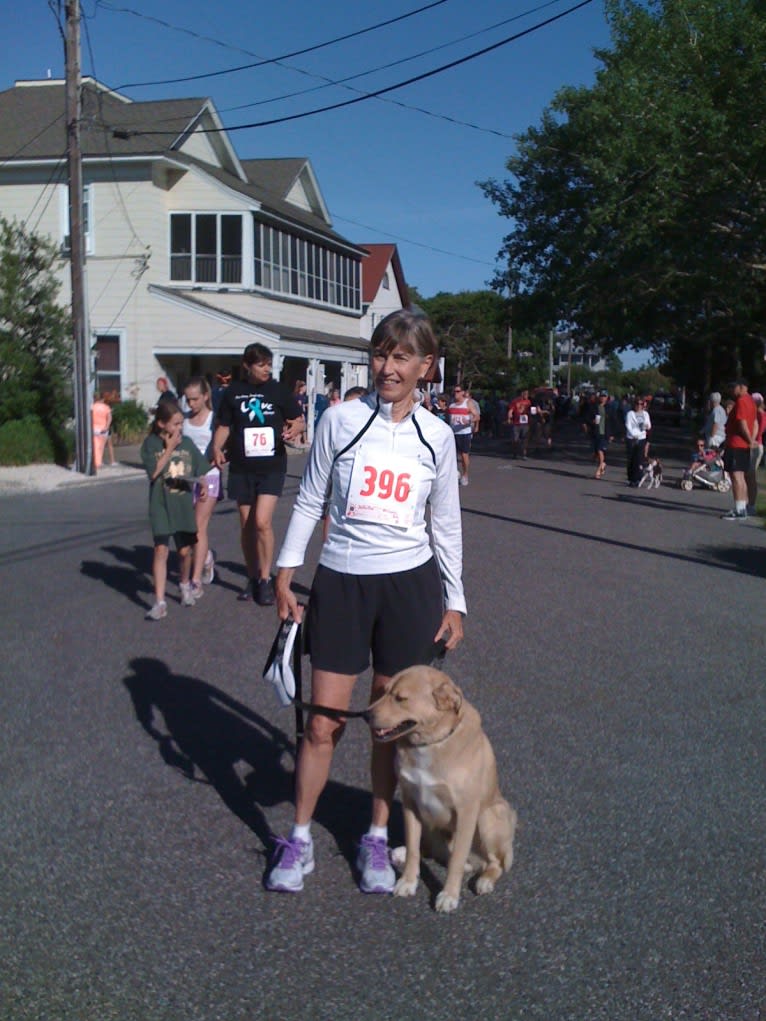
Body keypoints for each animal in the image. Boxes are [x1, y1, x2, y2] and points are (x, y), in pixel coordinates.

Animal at [365, 665, 516, 914]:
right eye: (384, 691)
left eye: (400, 698)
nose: (365, 715)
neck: (430, 743)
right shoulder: (410, 802)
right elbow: (414, 849)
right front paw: (408, 881)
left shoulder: (466, 812)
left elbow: (455, 862)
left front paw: (449, 895)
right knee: (427, 848)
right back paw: (402, 852)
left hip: (489, 816)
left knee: (494, 863)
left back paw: (484, 879)